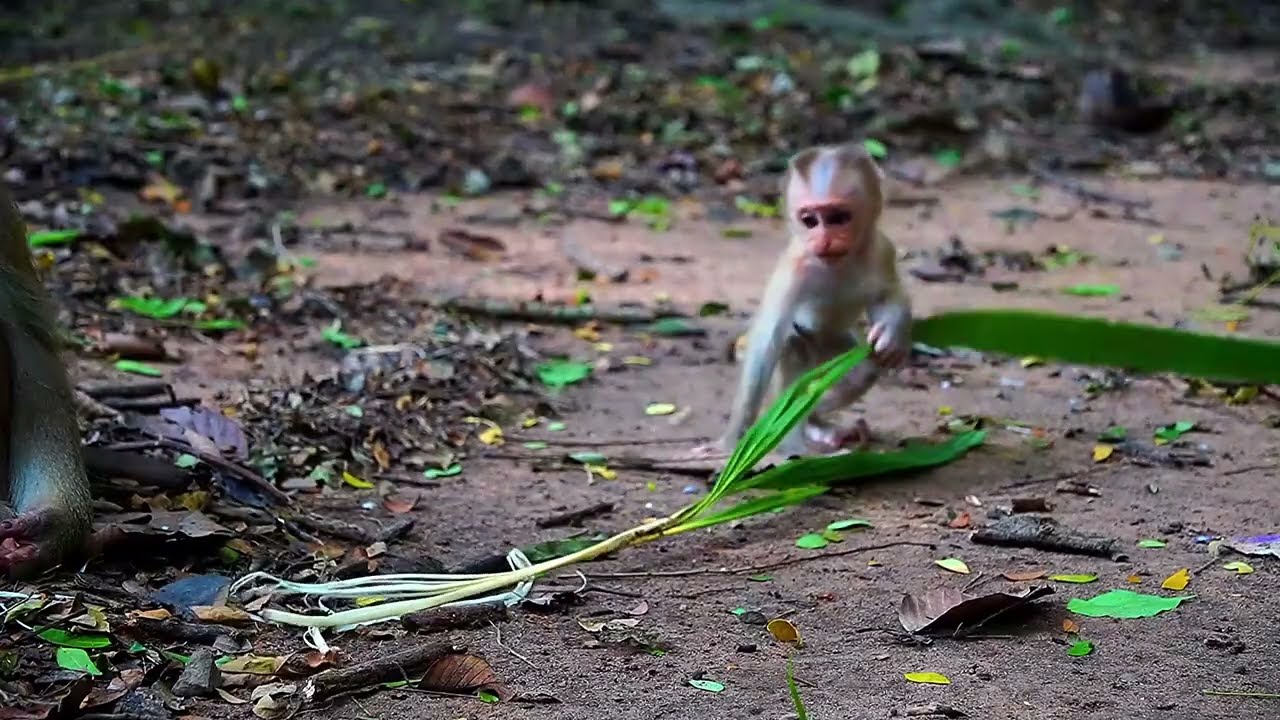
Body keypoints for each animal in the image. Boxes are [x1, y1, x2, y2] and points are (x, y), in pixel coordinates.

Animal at [705, 142, 912, 459]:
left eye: (839, 217)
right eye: (810, 220)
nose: (823, 240)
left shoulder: (882, 248)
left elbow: (889, 294)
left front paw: (892, 336)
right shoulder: (794, 270)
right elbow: (765, 345)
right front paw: (731, 442)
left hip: (835, 345)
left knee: (862, 371)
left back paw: (818, 423)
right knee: (793, 345)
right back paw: (794, 445)